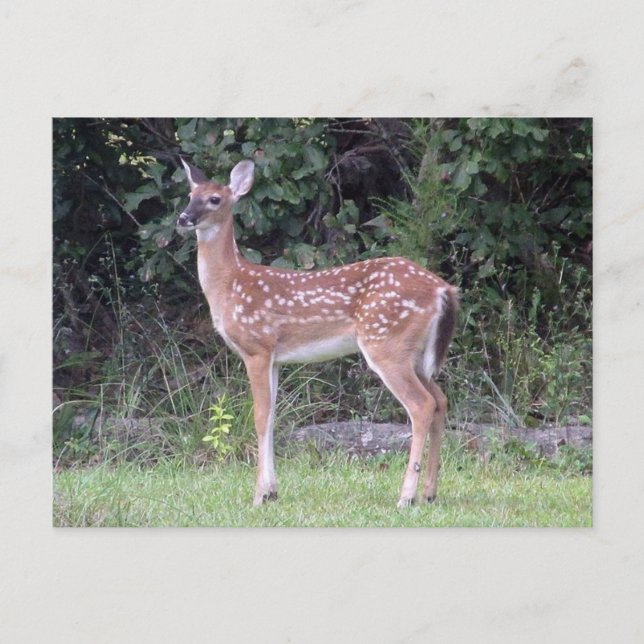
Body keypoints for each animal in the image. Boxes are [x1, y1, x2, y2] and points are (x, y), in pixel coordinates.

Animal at [176, 158, 459, 508]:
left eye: (215, 199)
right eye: (190, 194)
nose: (184, 218)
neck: (230, 284)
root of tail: (443, 290)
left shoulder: (257, 346)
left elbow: (259, 417)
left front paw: (258, 496)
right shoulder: (275, 358)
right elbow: (272, 417)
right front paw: (272, 491)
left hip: (386, 343)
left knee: (421, 405)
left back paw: (406, 497)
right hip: (415, 353)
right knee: (440, 400)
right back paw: (430, 493)